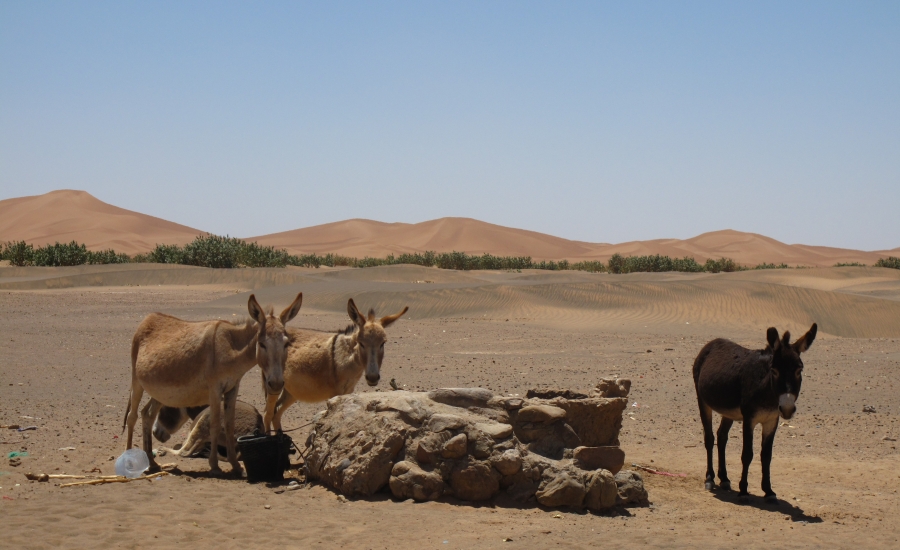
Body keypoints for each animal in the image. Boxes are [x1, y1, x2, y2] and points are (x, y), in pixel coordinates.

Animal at [123, 292, 302, 475]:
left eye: (287, 343)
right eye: (262, 344)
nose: (276, 384)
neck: (231, 348)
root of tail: (148, 318)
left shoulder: (232, 387)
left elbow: (229, 424)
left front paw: (235, 465)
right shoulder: (215, 389)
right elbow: (215, 424)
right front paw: (215, 465)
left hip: (160, 393)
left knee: (147, 415)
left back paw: (152, 463)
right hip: (136, 380)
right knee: (132, 416)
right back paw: (129, 460)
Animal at [263, 298, 408, 432]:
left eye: (383, 343)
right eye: (361, 343)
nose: (372, 378)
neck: (347, 359)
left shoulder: (348, 391)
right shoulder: (335, 393)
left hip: (291, 390)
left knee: (276, 413)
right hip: (273, 384)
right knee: (267, 414)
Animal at [693, 323, 817, 501]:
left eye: (799, 370)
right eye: (774, 370)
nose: (787, 409)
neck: (768, 392)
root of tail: (711, 343)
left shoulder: (771, 421)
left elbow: (766, 455)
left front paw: (769, 491)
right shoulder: (748, 419)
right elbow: (747, 454)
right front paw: (744, 490)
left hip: (729, 412)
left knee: (722, 437)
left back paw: (724, 479)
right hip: (702, 401)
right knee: (709, 438)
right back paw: (710, 478)